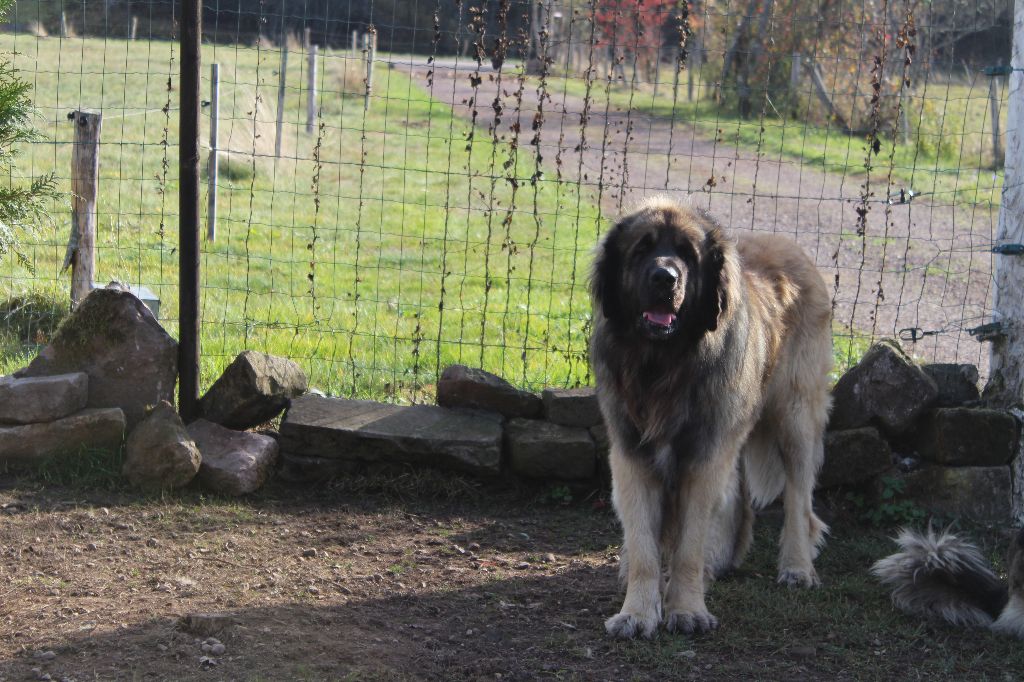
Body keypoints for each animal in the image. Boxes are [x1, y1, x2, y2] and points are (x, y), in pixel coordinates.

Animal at [593, 196, 831, 638]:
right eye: (642, 249)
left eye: (687, 254)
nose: (664, 277)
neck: (664, 366)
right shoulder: (633, 456)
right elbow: (644, 546)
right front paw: (637, 612)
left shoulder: (704, 457)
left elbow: (688, 545)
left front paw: (686, 609)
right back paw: (719, 561)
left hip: (795, 417)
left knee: (800, 501)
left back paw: (797, 566)